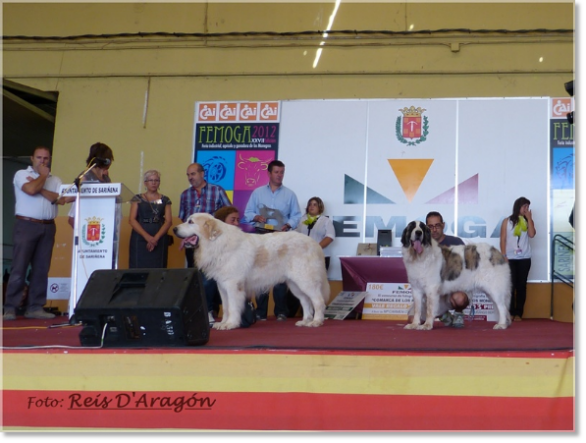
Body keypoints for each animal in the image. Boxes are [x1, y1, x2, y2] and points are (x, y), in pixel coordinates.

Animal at [172, 213, 328, 332]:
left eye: (190, 222)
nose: (174, 229)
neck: (216, 243)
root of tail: (315, 244)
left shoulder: (233, 285)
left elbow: (233, 307)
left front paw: (230, 324)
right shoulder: (222, 286)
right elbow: (226, 307)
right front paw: (222, 323)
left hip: (306, 281)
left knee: (318, 301)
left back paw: (316, 321)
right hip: (295, 284)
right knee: (306, 301)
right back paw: (305, 321)